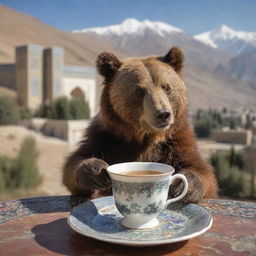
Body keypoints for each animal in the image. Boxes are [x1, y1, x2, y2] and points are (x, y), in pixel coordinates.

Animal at [63, 46, 217, 202]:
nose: (163, 114)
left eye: (167, 87)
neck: (143, 136)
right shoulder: (107, 138)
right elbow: (77, 160)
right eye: (139, 91)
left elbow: (201, 170)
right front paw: (97, 173)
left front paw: (181, 185)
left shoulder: (177, 140)